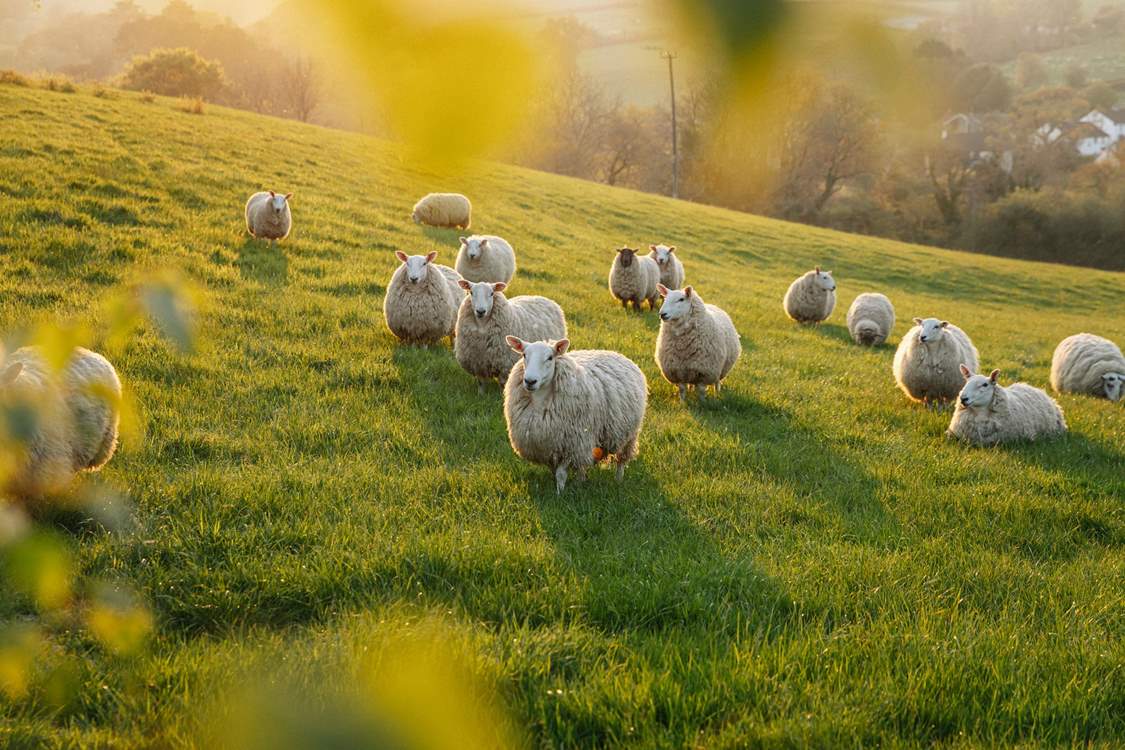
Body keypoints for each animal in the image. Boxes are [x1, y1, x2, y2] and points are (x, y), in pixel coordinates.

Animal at [503, 337, 647, 494]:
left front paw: (559, 494)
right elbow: (555, 471)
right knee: (582, 464)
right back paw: (581, 482)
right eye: (524, 355)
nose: (530, 381)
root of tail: (617, 354)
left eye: (550, 357)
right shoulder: (550, 445)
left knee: (621, 460)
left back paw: (618, 480)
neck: (539, 402)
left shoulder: (570, 443)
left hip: (628, 435)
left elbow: (560, 474)